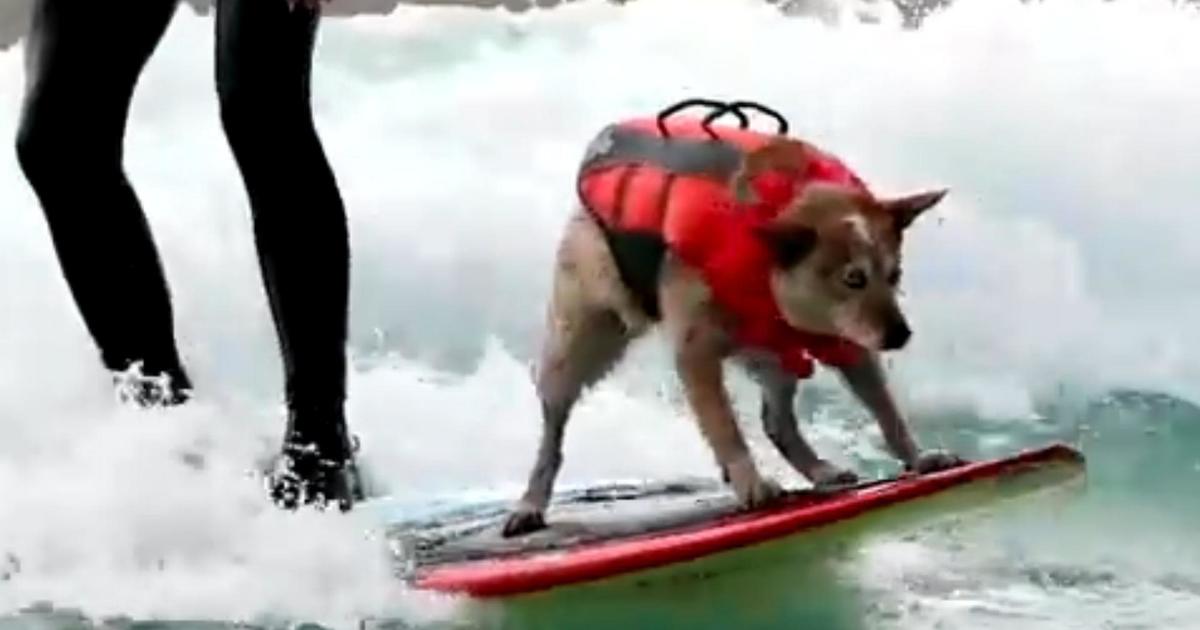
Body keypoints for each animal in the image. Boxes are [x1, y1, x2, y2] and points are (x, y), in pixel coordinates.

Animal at [501, 106, 960, 535]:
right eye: (854, 278)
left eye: (894, 274)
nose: (900, 334)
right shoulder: (695, 352)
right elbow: (723, 426)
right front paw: (751, 483)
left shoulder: (844, 342)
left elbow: (886, 409)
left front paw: (918, 457)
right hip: (579, 340)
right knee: (553, 426)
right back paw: (530, 503)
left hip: (776, 351)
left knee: (776, 420)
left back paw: (819, 470)